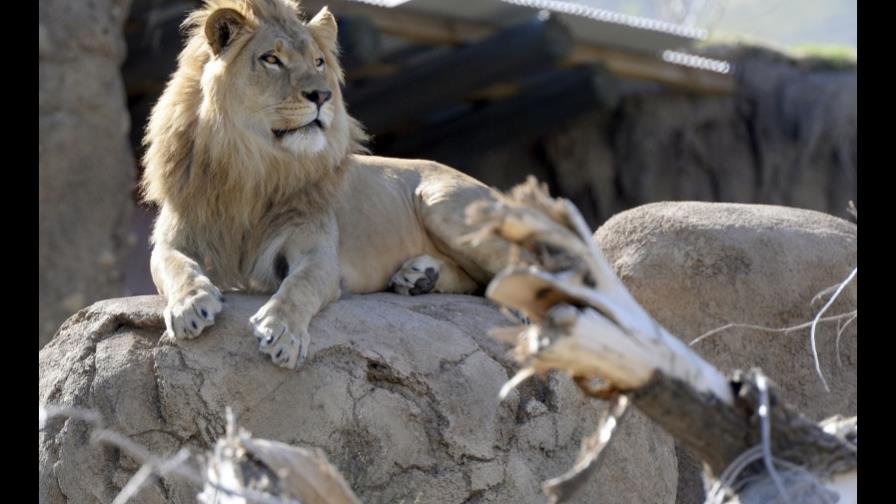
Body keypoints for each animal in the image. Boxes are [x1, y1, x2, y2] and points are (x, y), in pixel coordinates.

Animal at [141, 0, 513, 369]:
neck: (254, 167)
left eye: (318, 62)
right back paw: (421, 277)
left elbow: (299, 286)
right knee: (480, 280)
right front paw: (190, 303)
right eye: (271, 59)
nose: (322, 94)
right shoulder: (175, 238)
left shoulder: (317, 253)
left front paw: (282, 331)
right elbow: (177, 266)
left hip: (439, 201)